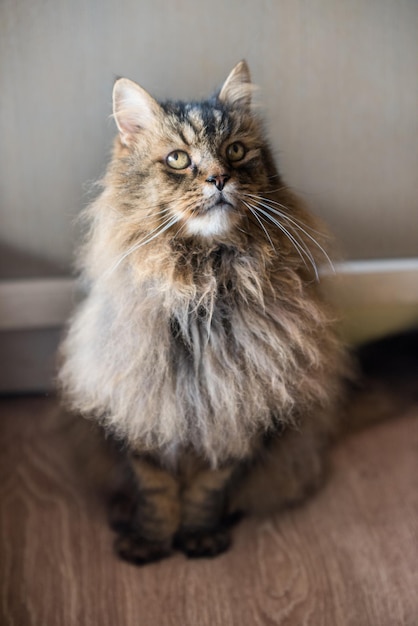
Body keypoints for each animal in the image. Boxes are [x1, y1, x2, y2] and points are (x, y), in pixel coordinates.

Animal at [58, 61, 352, 564]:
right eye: (178, 159)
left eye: (235, 151)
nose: (219, 179)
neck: (203, 290)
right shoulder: (143, 410)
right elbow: (156, 491)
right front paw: (149, 542)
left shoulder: (238, 411)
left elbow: (207, 489)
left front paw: (198, 536)